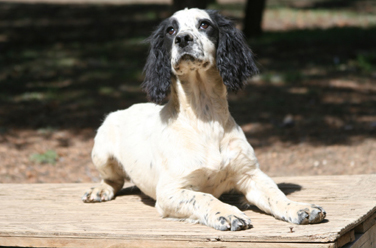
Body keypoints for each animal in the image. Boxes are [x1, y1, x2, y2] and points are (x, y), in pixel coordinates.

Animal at [83, 8, 326, 232]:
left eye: (204, 25)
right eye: (171, 30)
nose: (183, 39)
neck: (205, 119)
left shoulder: (250, 174)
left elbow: (276, 195)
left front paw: (299, 207)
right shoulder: (171, 191)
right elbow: (204, 197)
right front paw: (227, 213)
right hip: (101, 153)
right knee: (113, 180)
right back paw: (99, 190)